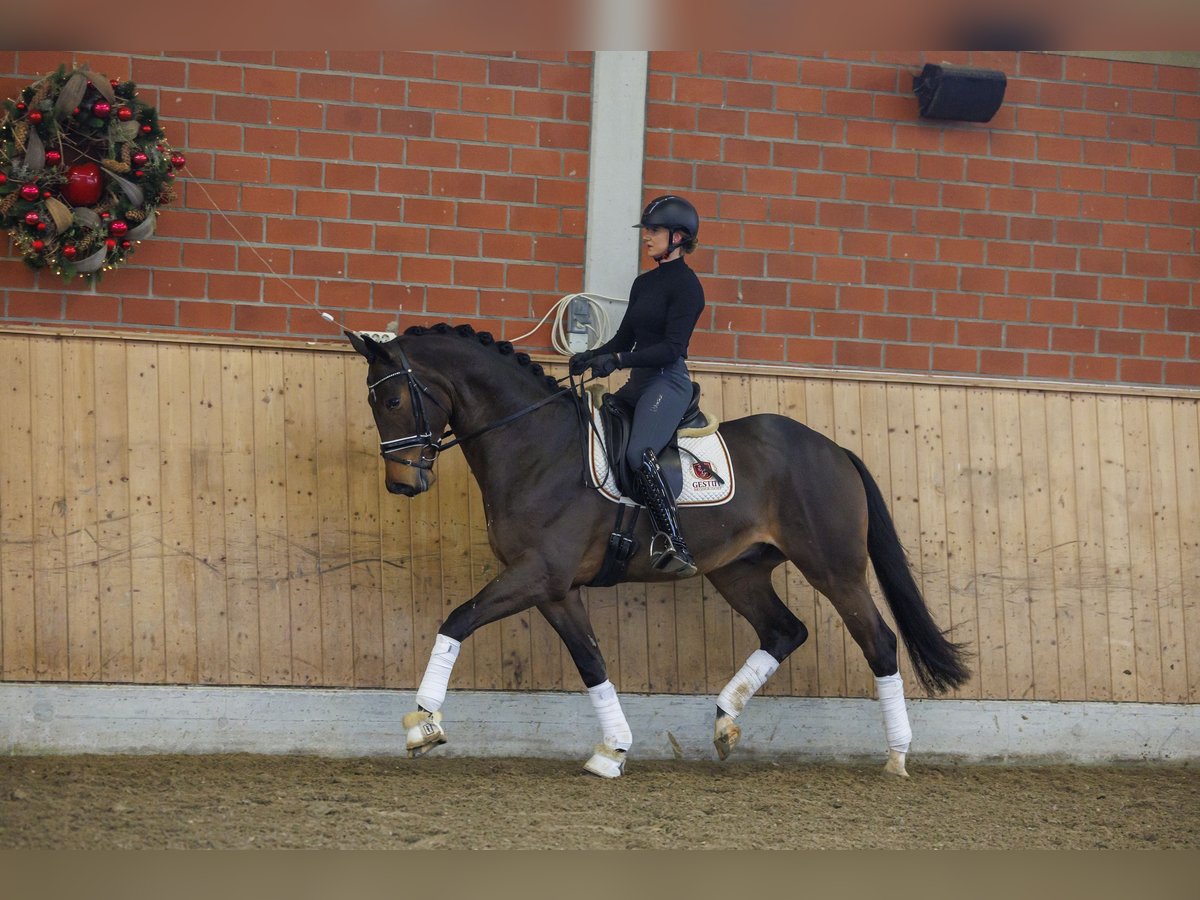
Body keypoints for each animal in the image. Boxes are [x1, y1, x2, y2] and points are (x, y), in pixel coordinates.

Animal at [345, 326, 964, 782]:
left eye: (394, 398)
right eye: (372, 401)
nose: (402, 483)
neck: (537, 447)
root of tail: (834, 449)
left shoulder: (537, 575)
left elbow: (457, 619)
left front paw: (424, 723)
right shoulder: (555, 589)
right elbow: (591, 662)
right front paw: (612, 751)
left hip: (834, 570)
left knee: (878, 643)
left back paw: (897, 756)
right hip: (738, 572)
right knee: (784, 631)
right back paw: (724, 724)